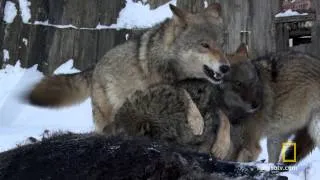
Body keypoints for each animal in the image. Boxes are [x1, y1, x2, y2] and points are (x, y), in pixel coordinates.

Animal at [25, 3, 230, 135]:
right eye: (204, 45)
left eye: (221, 45)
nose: (226, 67)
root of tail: (94, 65)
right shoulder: (161, 86)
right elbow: (184, 95)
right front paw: (197, 122)